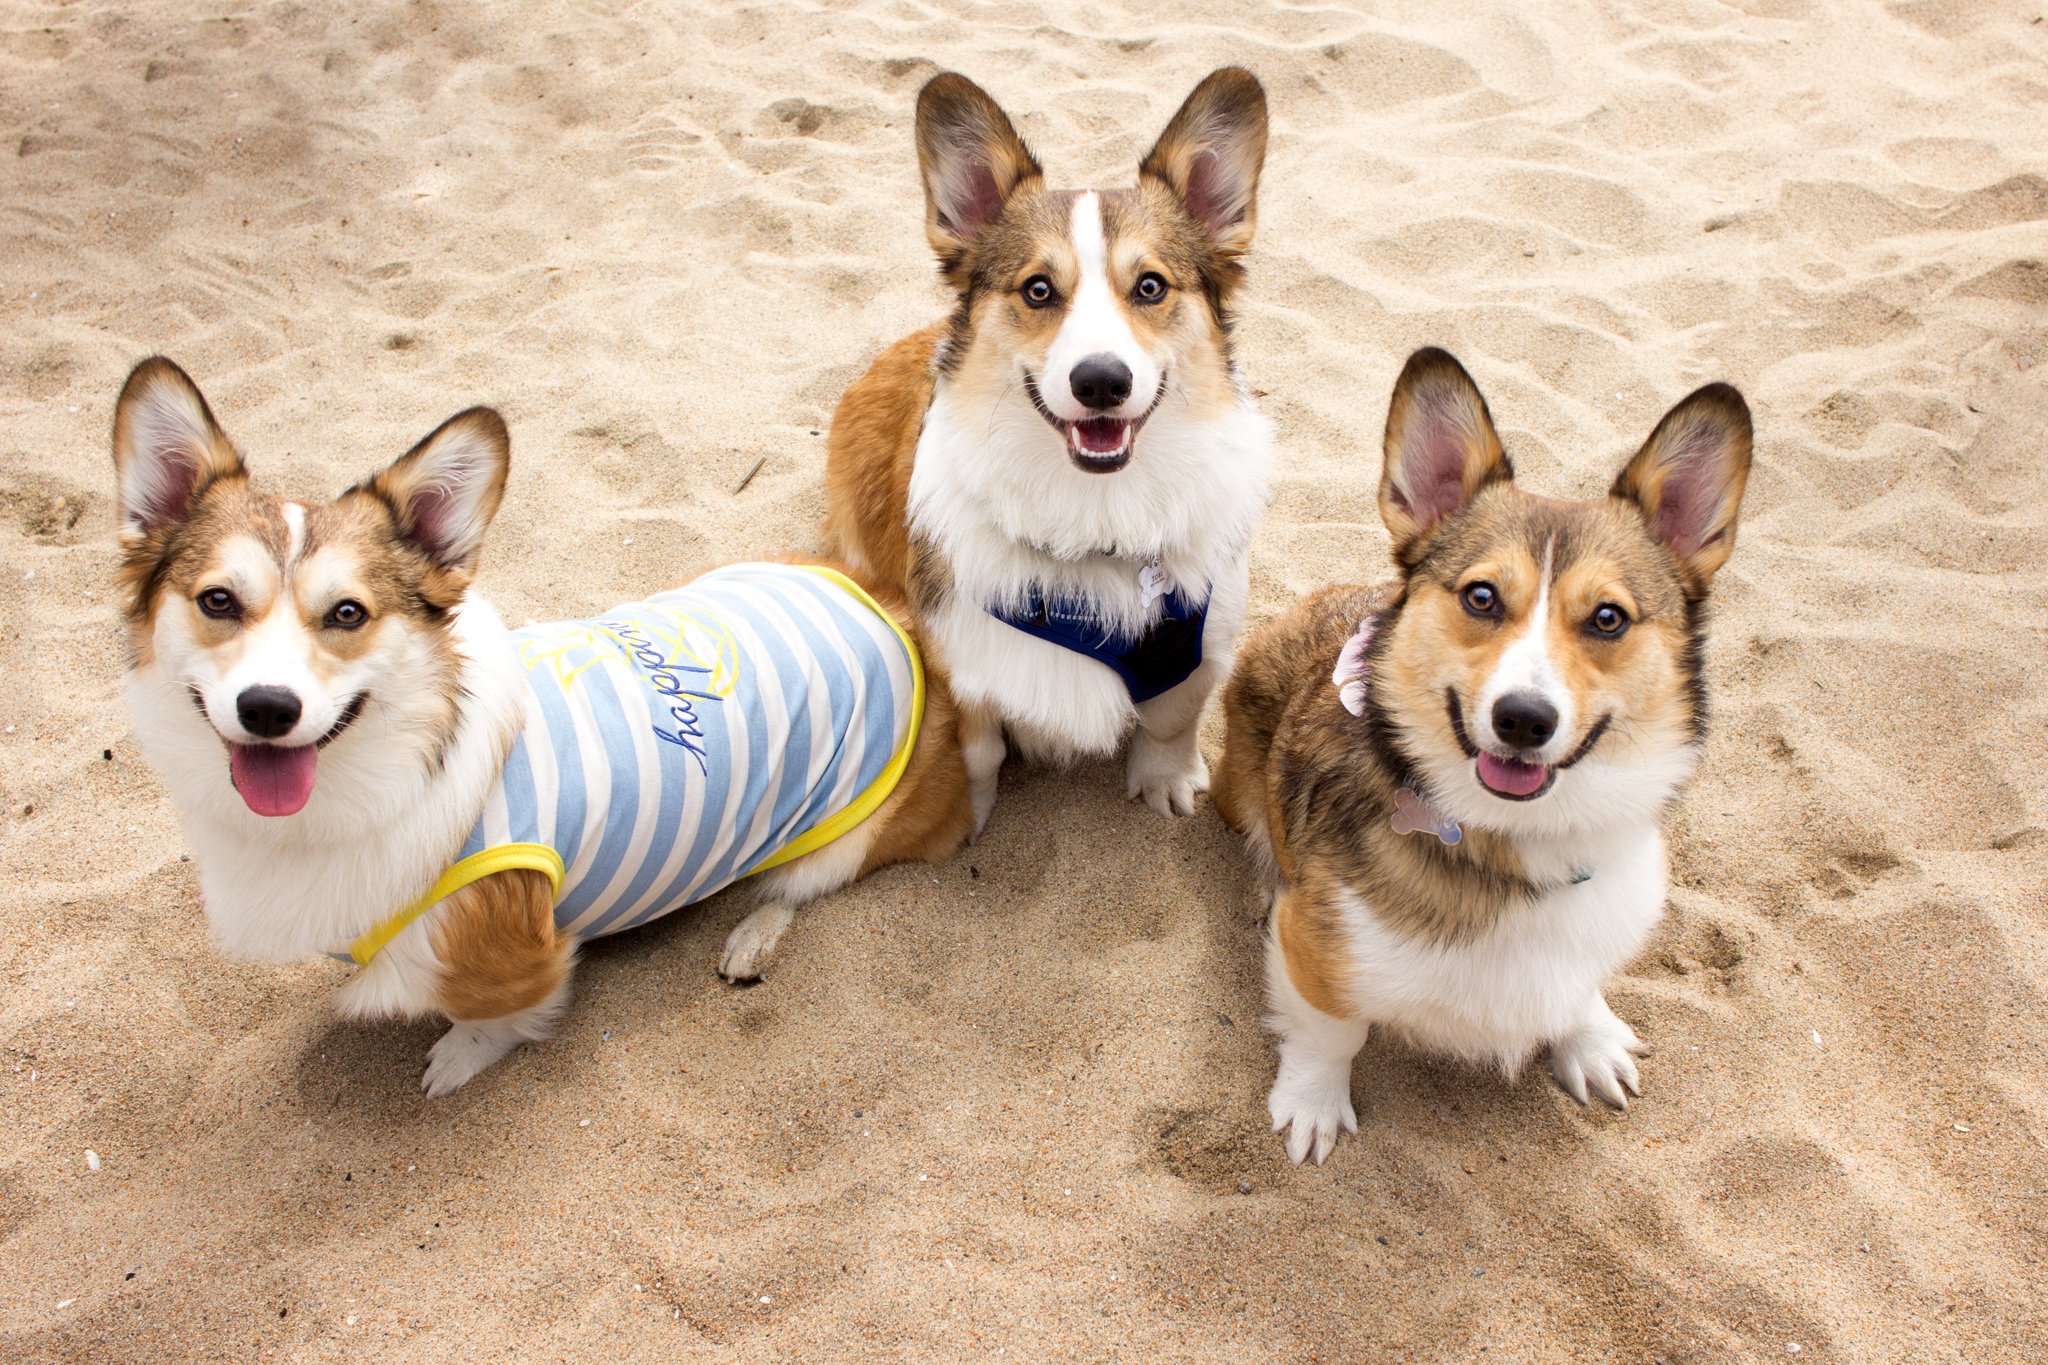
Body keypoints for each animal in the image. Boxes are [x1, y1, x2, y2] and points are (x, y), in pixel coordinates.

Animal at [108, 358, 970, 1096]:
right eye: (218, 600)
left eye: (348, 613)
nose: (267, 706)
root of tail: (887, 604)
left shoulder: (514, 949)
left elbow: (496, 1012)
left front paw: (457, 1056)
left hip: (848, 833)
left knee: (801, 885)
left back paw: (751, 937)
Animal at [823, 69, 1269, 834]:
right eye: (1037, 289)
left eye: (1150, 286)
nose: (1102, 381)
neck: (1096, 511)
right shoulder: (960, 651)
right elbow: (979, 751)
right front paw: (967, 819)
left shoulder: (1206, 641)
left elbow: (1173, 720)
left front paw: (1167, 781)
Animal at [1212, 349, 1761, 1162]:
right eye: (1480, 597)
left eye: (1608, 617)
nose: (1524, 719)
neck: (1518, 844)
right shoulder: (1318, 940)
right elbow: (1332, 1029)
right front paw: (1312, 1103)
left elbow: (1578, 989)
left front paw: (1590, 1038)